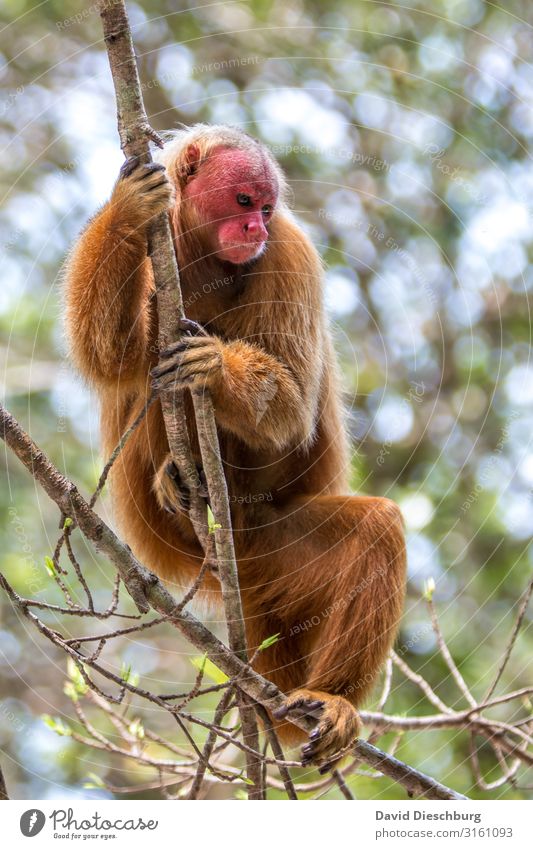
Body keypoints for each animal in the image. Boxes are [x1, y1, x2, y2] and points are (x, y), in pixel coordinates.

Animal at [64, 124, 406, 768]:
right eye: (243, 201)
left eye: (266, 210)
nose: (255, 230)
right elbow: (110, 356)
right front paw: (126, 208)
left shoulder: (290, 252)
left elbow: (292, 408)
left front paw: (216, 369)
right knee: (149, 368)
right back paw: (177, 483)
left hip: (272, 550)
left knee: (376, 528)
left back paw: (332, 699)